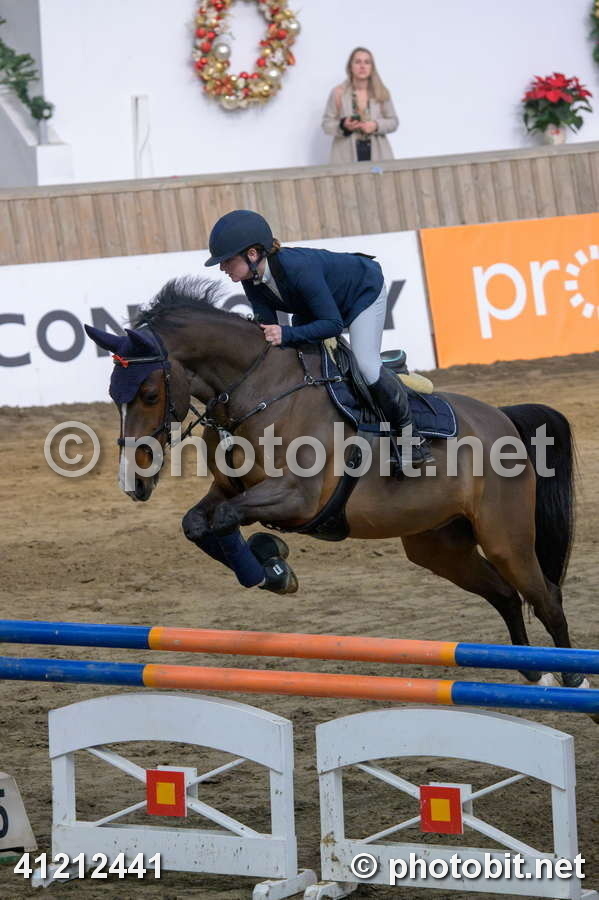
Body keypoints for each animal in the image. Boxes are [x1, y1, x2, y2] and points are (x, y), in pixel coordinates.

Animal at [85, 277, 586, 690]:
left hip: (505, 537)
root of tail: (502, 416)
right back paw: (532, 671)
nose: (133, 481)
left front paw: (271, 566)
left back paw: (572, 678)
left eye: (150, 393)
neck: (259, 393)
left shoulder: (297, 498)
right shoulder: (231, 489)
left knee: (545, 596)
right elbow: (198, 523)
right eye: (112, 394)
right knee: (504, 594)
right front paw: (274, 568)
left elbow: (225, 519)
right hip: (438, 545)